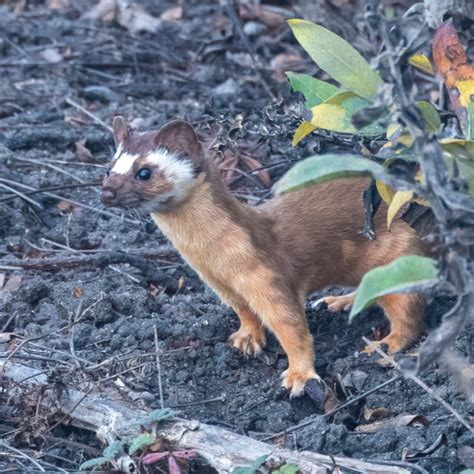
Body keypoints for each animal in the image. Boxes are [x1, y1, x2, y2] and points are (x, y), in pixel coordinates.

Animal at [100, 117, 426, 396]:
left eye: (144, 172)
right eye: (109, 167)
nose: (107, 193)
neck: (214, 260)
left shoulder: (264, 273)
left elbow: (290, 327)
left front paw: (299, 376)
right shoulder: (220, 283)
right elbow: (244, 310)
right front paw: (246, 338)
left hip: (403, 258)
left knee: (409, 316)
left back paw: (384, 345)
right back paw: (338, 302)